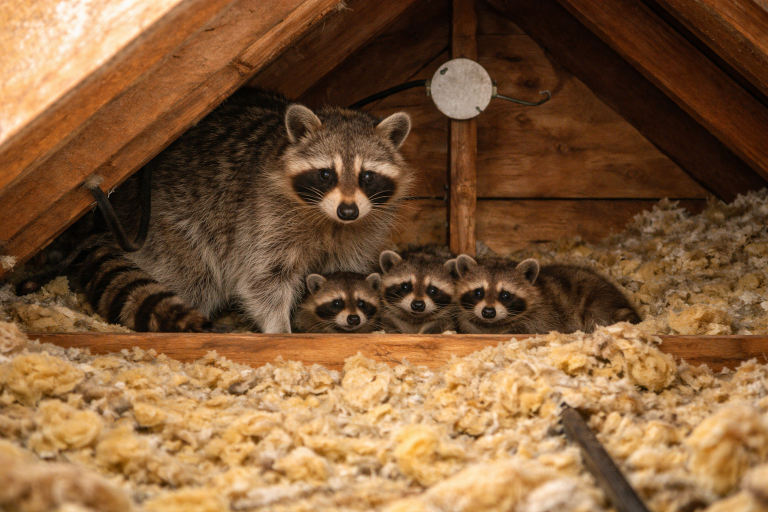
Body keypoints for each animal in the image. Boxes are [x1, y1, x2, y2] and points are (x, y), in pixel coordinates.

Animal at [90, 88, 413, 333]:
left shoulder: (359, 231)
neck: (328, 219)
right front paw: (279, 326)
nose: (348, 211)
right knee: (192, 277)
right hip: (170, 225)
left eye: (366, 176)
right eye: (326, 175)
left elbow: (343, 270)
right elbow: (263, 279)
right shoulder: (264, 218)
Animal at [452, 255, 640, 334]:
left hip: (598, 303)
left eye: (505, 295)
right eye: (478, 292)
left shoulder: (545, 314)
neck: (492, 324)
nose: (488, 312)